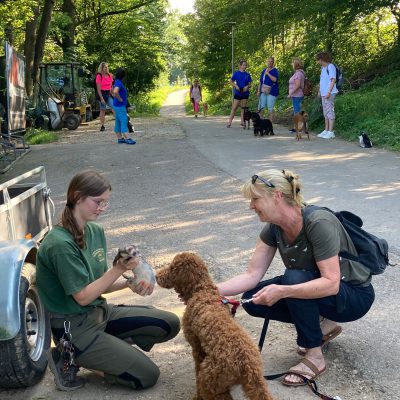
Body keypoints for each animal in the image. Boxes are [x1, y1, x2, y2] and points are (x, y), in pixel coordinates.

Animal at [155, 253, 274, 400]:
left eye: (172, 268)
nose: (156, 276)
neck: (202, 290)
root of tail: (247, 363)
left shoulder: (197, 349)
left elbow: (196, 372)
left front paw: (197, 396)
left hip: (210, 380)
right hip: (252, 383)